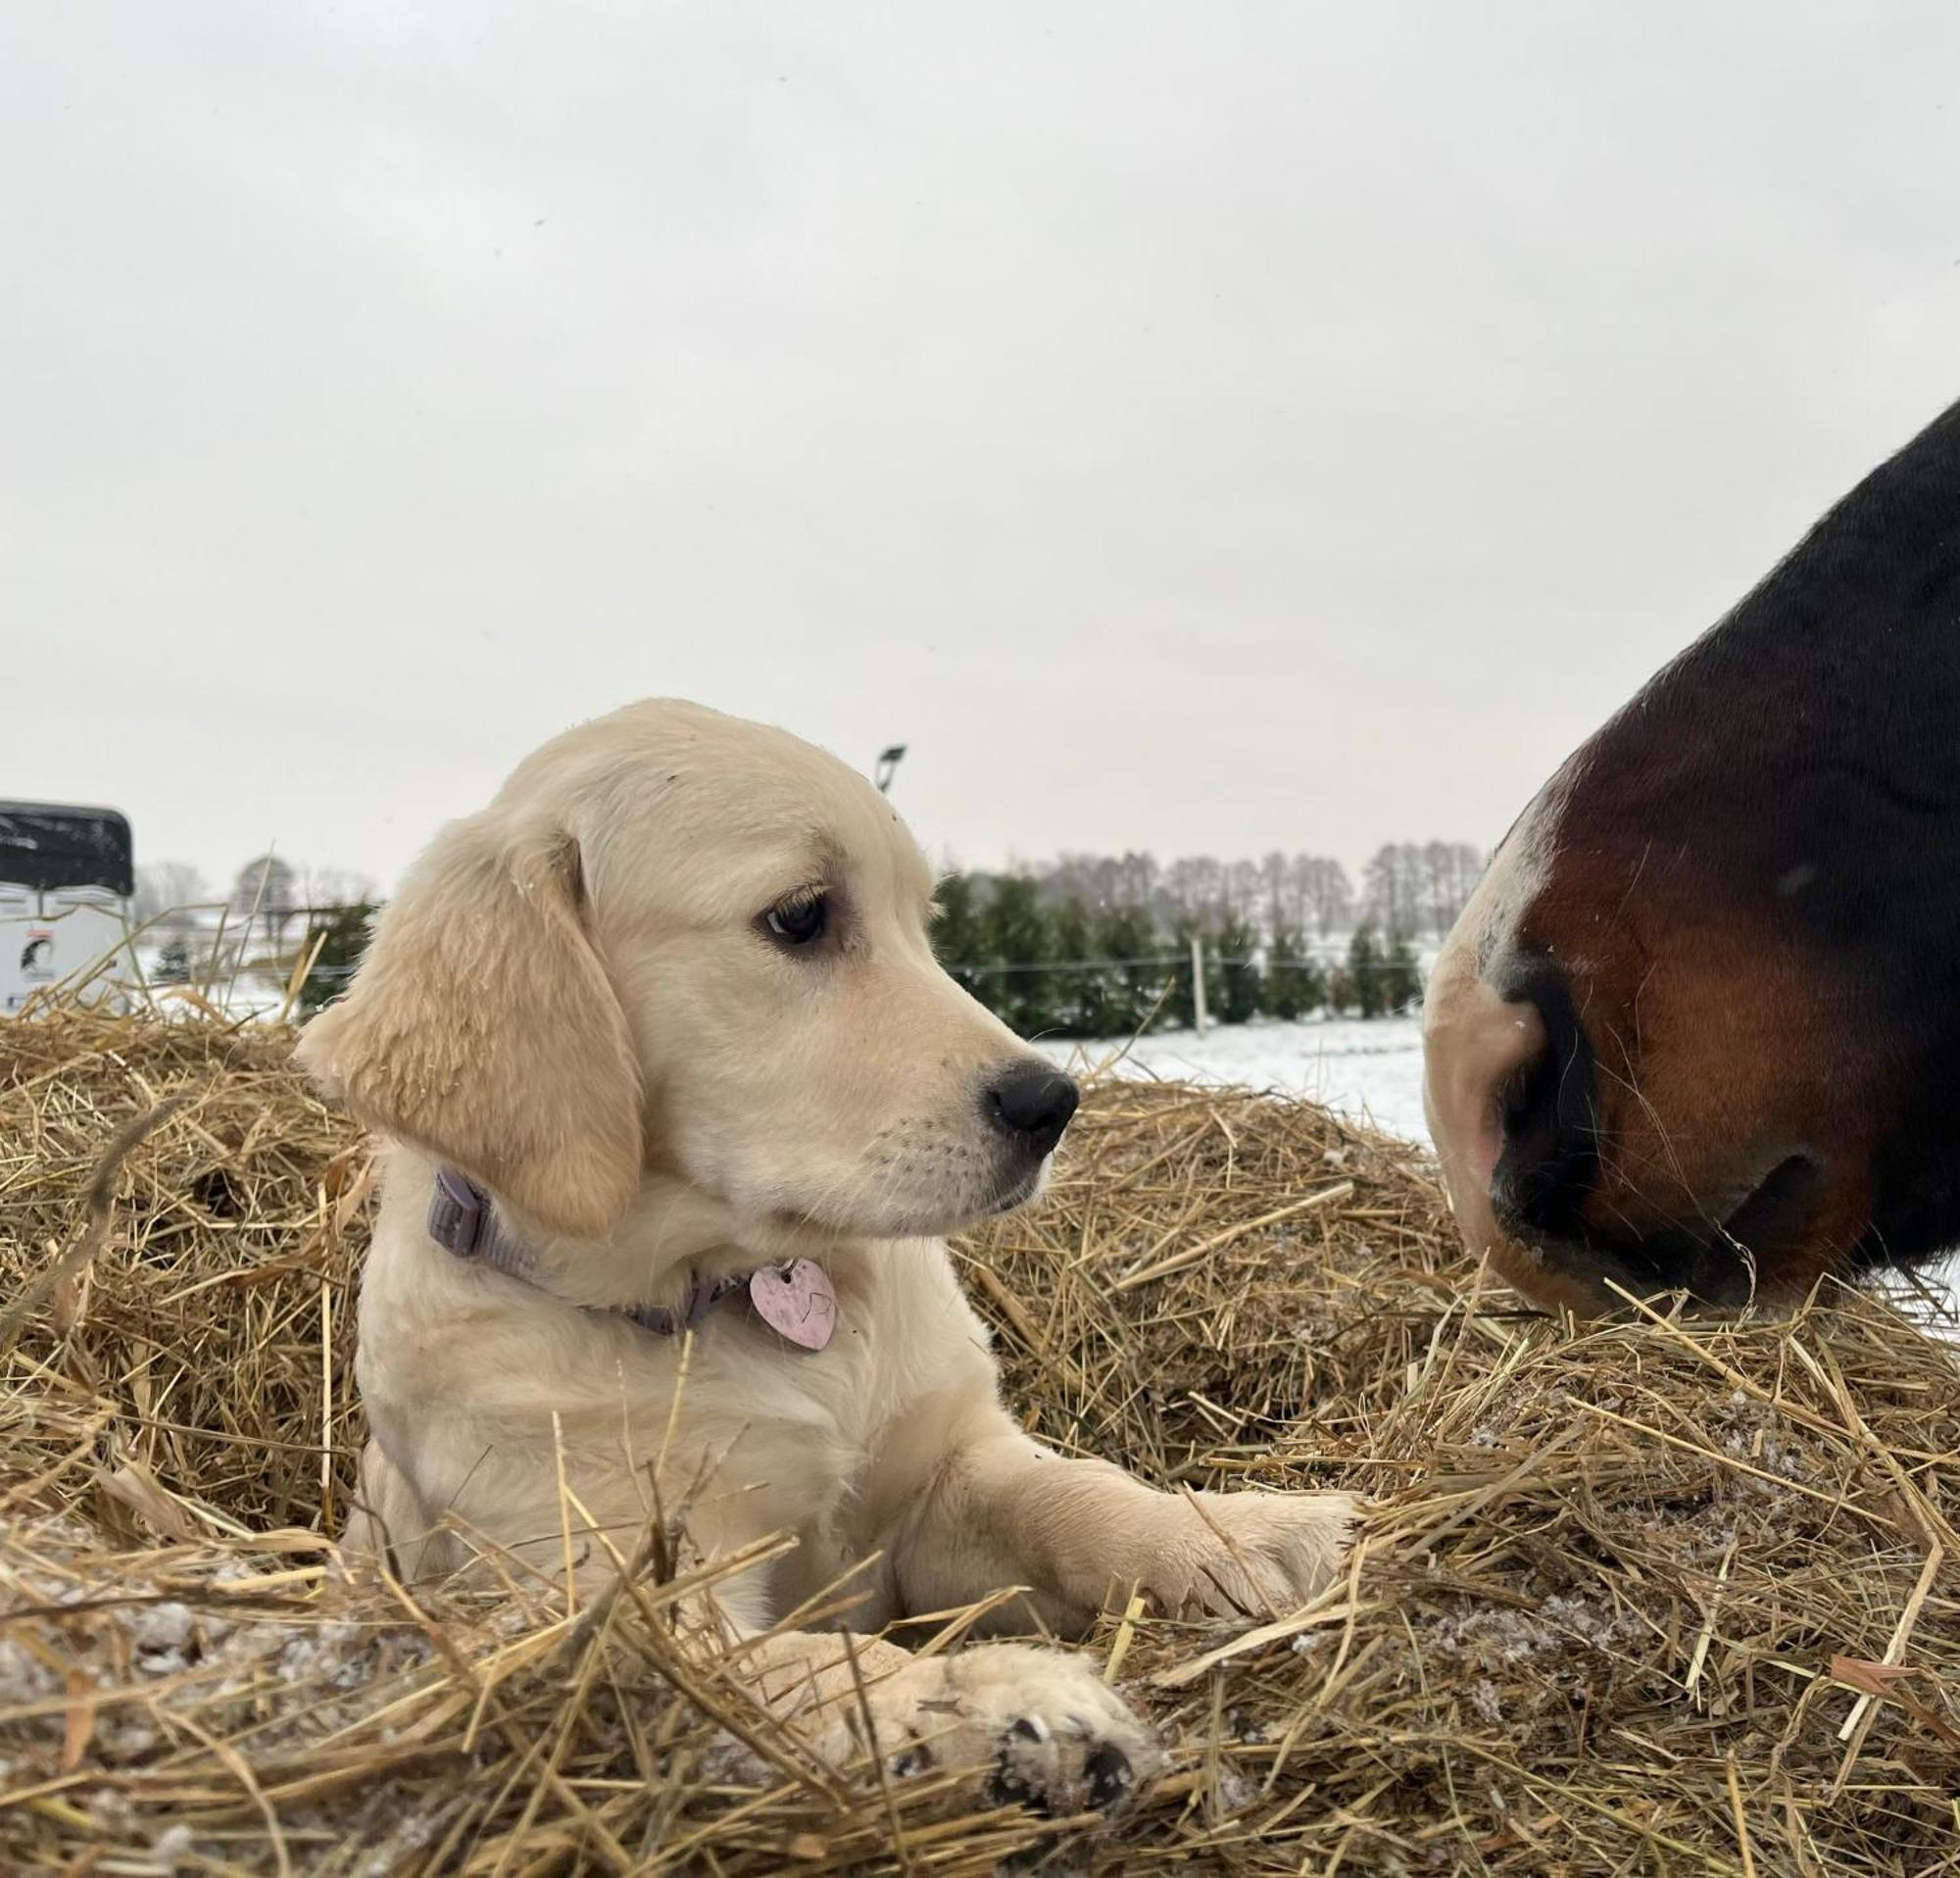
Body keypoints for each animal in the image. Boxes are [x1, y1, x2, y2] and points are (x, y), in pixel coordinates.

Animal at [298, 698, 1356, 1819]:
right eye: (801, 916)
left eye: (921, 923)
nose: (1052, 1105)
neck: (730, 1291)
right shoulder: (627, 1588)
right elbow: (808, 1665)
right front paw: (1005, 1706)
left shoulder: (942, 1484)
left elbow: (1066, 1489)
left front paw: (1236, 1532)